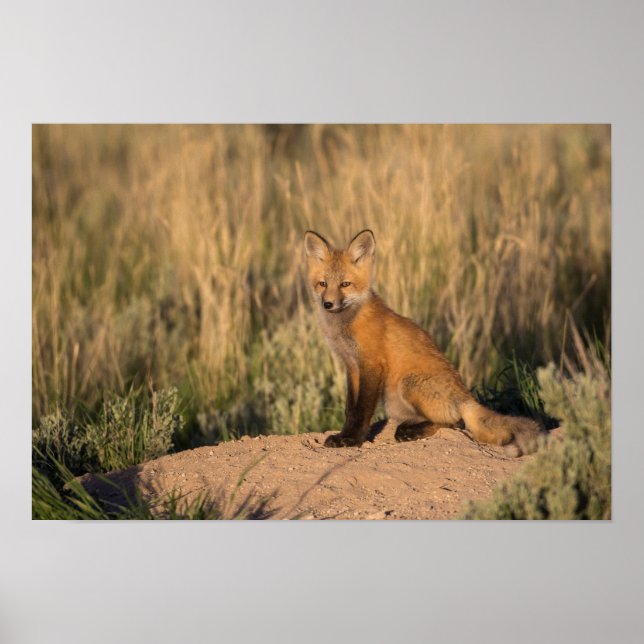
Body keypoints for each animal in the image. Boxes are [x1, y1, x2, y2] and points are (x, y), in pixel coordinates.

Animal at [304, 228, 545, 456]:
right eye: (322, 284)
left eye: (345, 284)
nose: (328, 304)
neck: (346, 325)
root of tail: (466, 397)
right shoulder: (352, 367)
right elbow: (350, 409)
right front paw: (345, 434)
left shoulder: (371, 365)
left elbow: (361, 410)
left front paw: (351, 440)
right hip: (393, 400)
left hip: (408, 383)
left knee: (454, 422)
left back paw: (410, 432)